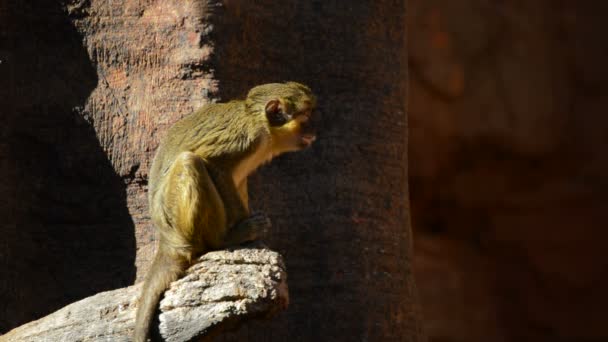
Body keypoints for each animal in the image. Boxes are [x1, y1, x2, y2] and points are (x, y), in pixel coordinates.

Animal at [134, 81, 318, 340]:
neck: (258, 121)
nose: (314, 129)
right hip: (178, 222)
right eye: (306, 117)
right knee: (190, 162)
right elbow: (214, 165)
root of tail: (167, 242)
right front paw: (245, 231)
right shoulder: (247, 138)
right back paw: (223, 239)